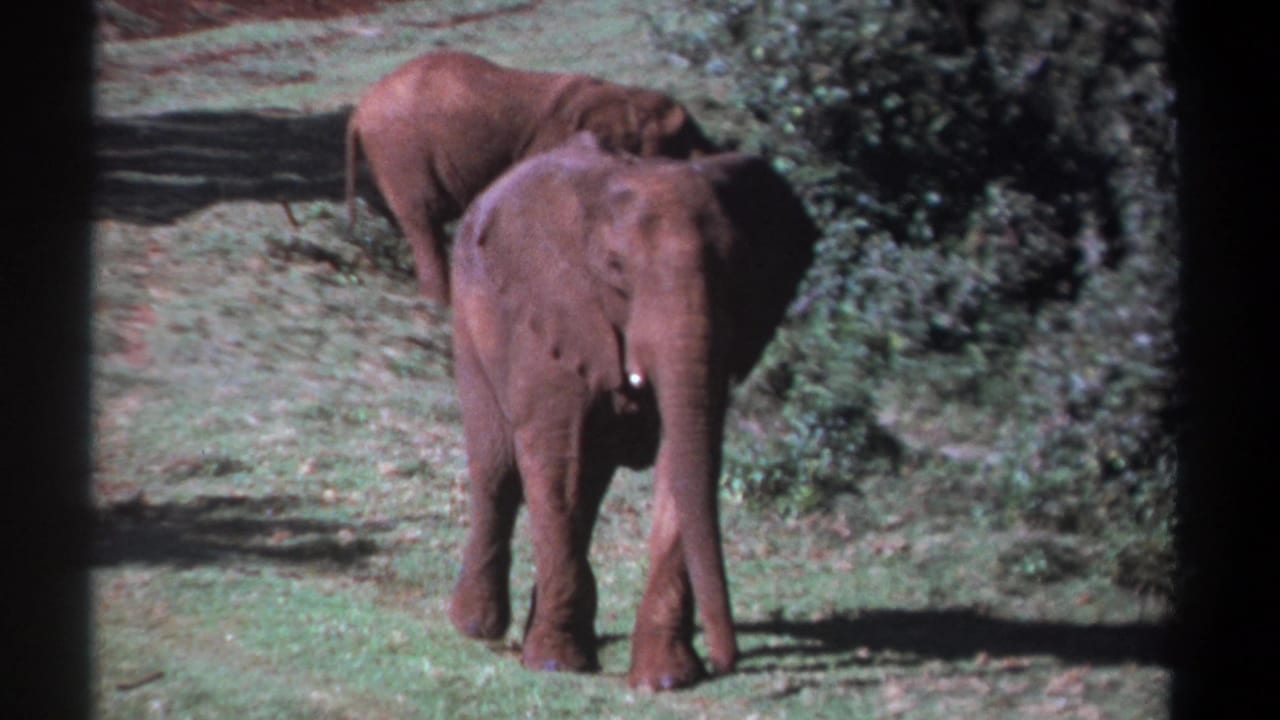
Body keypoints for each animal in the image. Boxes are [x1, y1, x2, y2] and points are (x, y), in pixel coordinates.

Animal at [445, 133, 818, 690]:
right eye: (616, 270)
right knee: (498, 470)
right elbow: (554, 459)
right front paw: (556, 664)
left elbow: (682, 463)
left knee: (586, 485)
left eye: (737, 270)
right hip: (468, 319)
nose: (728, 662)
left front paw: (667, 679)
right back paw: (475, 628)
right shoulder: (553, 317)